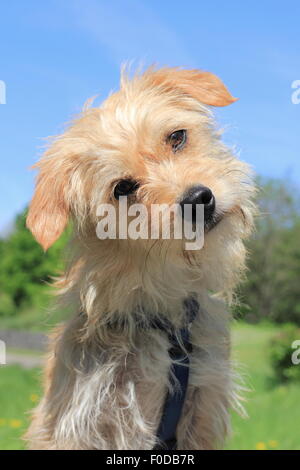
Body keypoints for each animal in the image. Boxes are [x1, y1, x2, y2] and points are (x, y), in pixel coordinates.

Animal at [25, 65, 255, 448]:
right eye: (123, 188)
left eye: (176, 137)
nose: (199, 200)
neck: (165, 319)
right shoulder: (84, 422)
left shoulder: (202, 411)